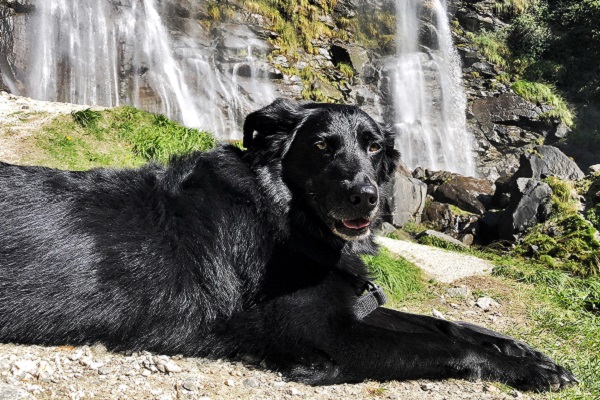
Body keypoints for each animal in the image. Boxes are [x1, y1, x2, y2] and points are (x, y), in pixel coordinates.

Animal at [0, 99, 576, 390]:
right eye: (321, 146)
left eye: (374, 147)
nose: (366, 198)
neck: (287, 219)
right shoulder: (332, 338)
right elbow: (447, 345)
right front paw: (528, 371)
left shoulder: (353, 304)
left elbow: (451, 324)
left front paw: (530, 354)